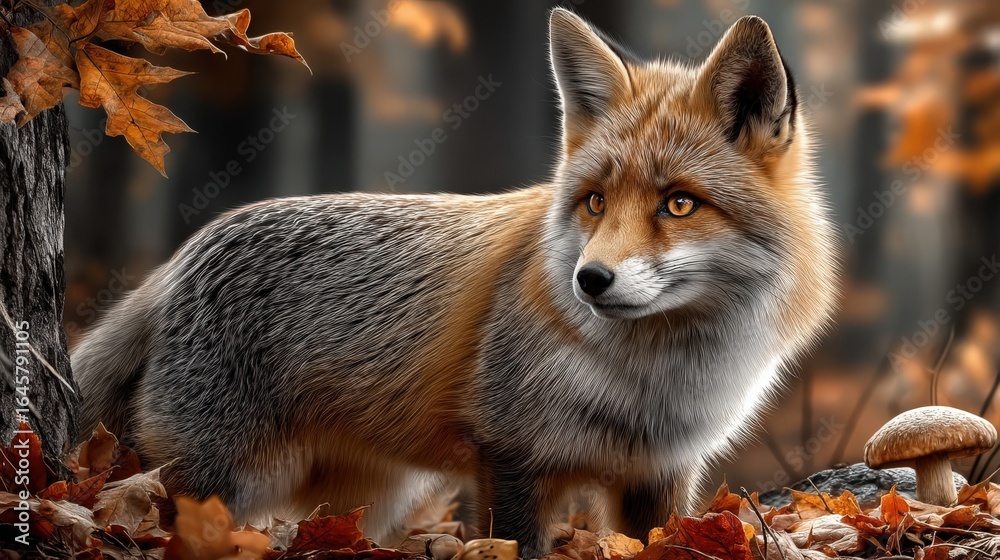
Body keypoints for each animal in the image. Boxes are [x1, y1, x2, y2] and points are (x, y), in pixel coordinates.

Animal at [72, 8, 837, 558]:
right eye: (595, 202)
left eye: (678, 204)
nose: (590, 280)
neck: (652, 384)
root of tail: (186, 253)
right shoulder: (511, 457)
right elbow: (516, 543)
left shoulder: (660, 475)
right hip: (214, 481)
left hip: (363, 499)